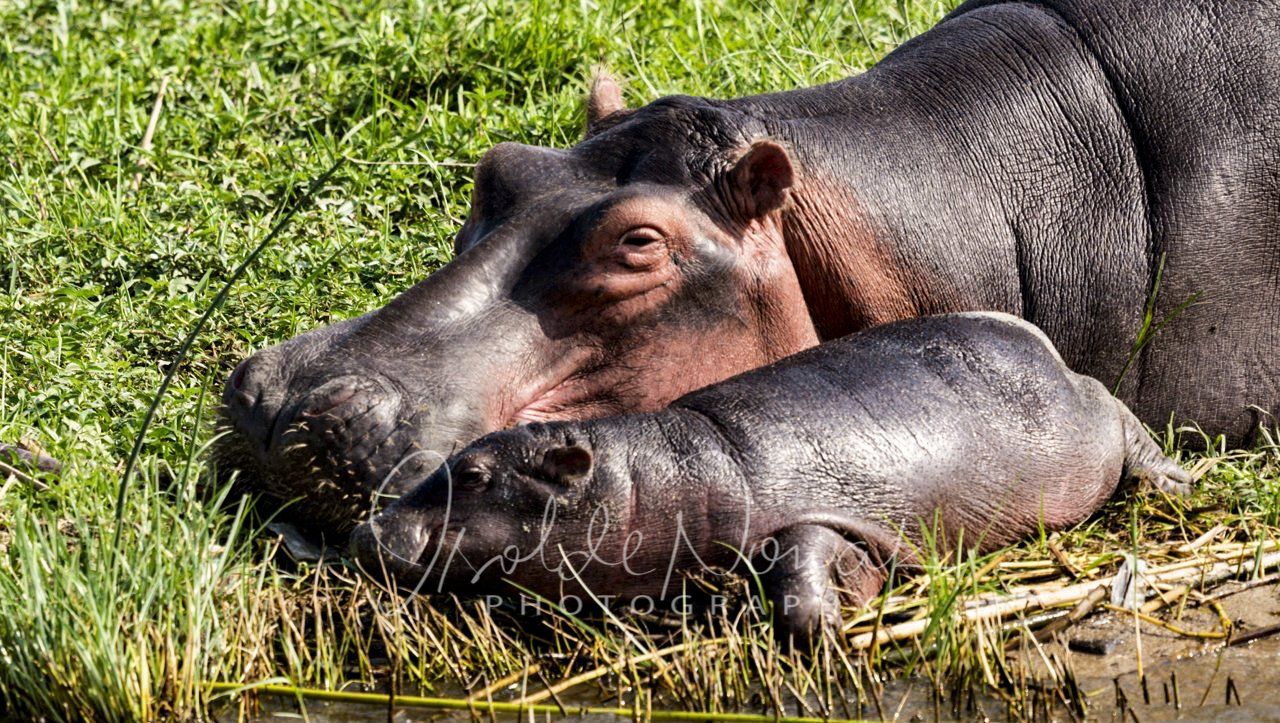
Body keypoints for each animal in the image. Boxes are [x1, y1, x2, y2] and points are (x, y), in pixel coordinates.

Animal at [349, 313, 1191, 643]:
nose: (368, 528)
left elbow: (804, 555)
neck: (663, 470)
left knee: (1125, 417)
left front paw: (820, 626)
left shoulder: (831, 512)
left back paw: (1174, 481)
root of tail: (1038, 341)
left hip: (1091, 424)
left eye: (475, 470)